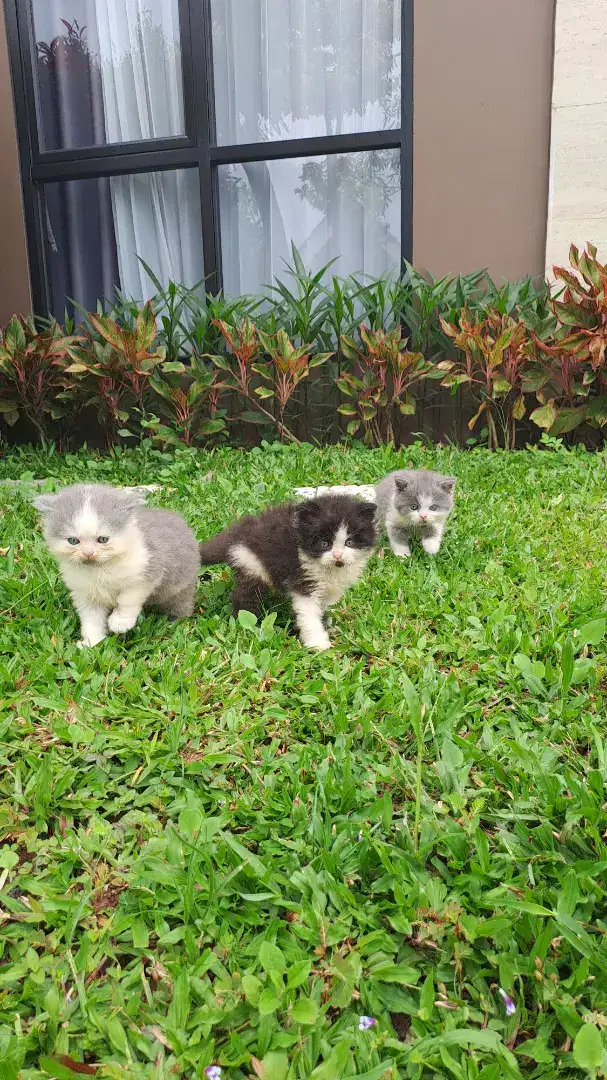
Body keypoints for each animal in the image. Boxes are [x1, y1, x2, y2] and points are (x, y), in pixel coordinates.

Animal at [33, 486, 198, 643]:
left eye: (103, 539)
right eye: (73, 541)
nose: (88, 553)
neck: (98, 570)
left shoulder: (148, 571)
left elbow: (128, 599)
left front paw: (120, 621)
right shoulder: (85, 594)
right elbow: (91, 619)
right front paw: (92, 642)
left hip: (180, 586)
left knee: (181, 604)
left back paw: (175, 620)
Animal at [199, 494, 378, 648]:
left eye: (349, 542)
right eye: (324, 543)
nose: (338, 555)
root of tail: (236, 532)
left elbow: (323, 605)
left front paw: (327, 623)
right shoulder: (304, 577)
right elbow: (308, 612)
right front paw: (318, 643)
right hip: (252, 562)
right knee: (245, 595)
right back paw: (249, 624)